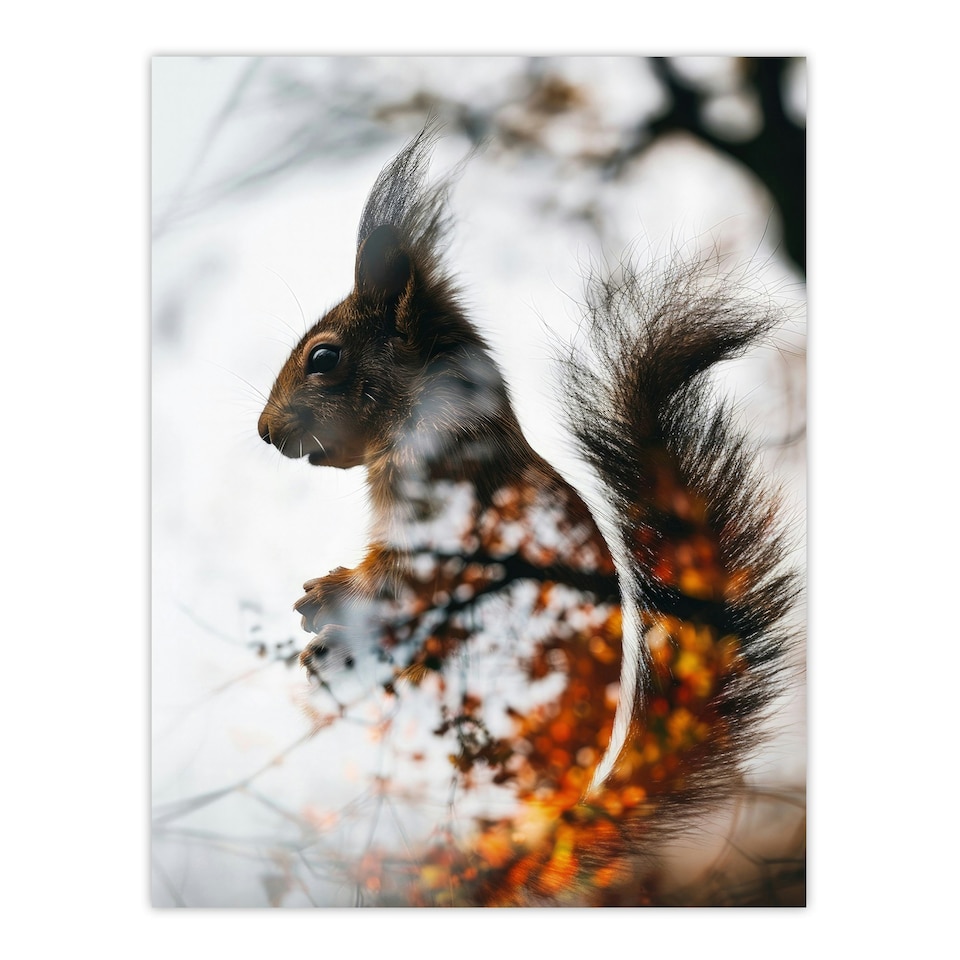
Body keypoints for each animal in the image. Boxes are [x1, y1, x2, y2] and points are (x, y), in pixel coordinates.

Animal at [256, 125, 802, 906]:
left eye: (323, 358)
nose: (266, 431)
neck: (425, 414)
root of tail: (552, 821)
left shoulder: (452, 505)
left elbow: (402, 578)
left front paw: (327, 596)